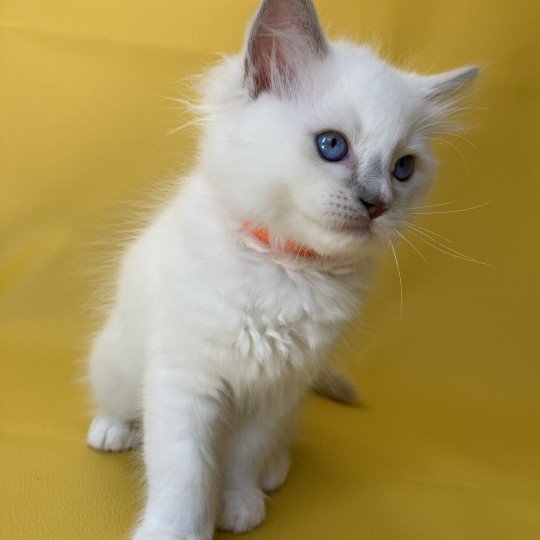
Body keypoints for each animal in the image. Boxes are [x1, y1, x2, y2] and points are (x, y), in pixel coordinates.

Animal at [86, 1, 478, 540]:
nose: (378, 204)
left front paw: (240, 504)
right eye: (332, 146)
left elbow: (243, 455)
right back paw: (112, 430)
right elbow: (184, 473)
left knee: (279, 442)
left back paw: (273, 472)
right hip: (120, 363)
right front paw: (177, 529)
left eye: (403, 169)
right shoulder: (185, 380)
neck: (288, 268)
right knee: (119, 402)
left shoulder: (278, 386)